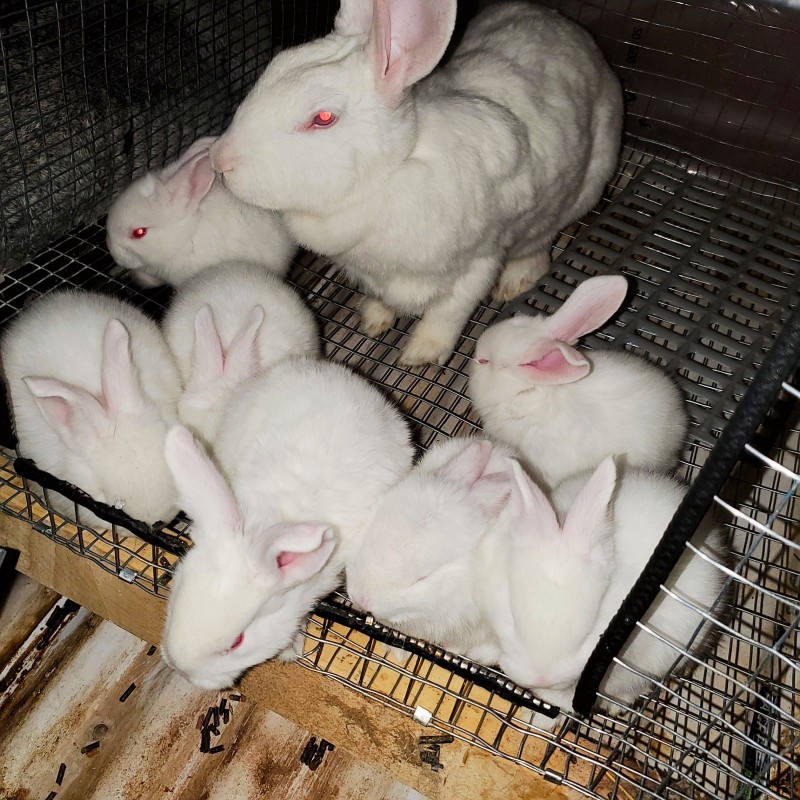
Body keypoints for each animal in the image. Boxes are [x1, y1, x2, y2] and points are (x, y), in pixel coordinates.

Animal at [209, 0, 623, 366]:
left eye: (323, 118)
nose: (220, 161)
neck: (388, 176)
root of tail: (570, 28)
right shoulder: (370, 275)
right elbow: (381, 299)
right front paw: (374, 321)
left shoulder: (477, 264)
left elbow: (448, 314)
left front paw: (420, 355)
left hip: (573, 197)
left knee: (539, 244)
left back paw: (515, 281)